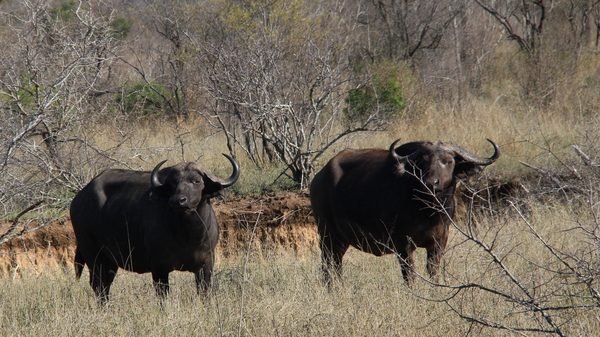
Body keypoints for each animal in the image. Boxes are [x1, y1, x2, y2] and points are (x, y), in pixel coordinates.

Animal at [70, 154, 239, 304]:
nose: (177, 200)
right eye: (172, 183)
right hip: (93, 254)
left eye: (196, 181)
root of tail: (79, 198)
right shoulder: (159, 267)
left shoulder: (206, 265)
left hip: (110, 260)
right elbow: (163, 296)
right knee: (98, 285)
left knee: (105, 285)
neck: (189, 236)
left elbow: (204, 293)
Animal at [312, 139, 500, 284]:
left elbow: (433, 271)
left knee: (336, 264)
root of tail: (319, 177)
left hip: (341, 240)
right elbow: (410, 274)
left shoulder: (439, 241)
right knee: (327, 266)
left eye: (448, 161)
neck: (429, 212)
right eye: (423, 161)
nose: (430, 182)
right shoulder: (403, 243)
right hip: (328, 234)